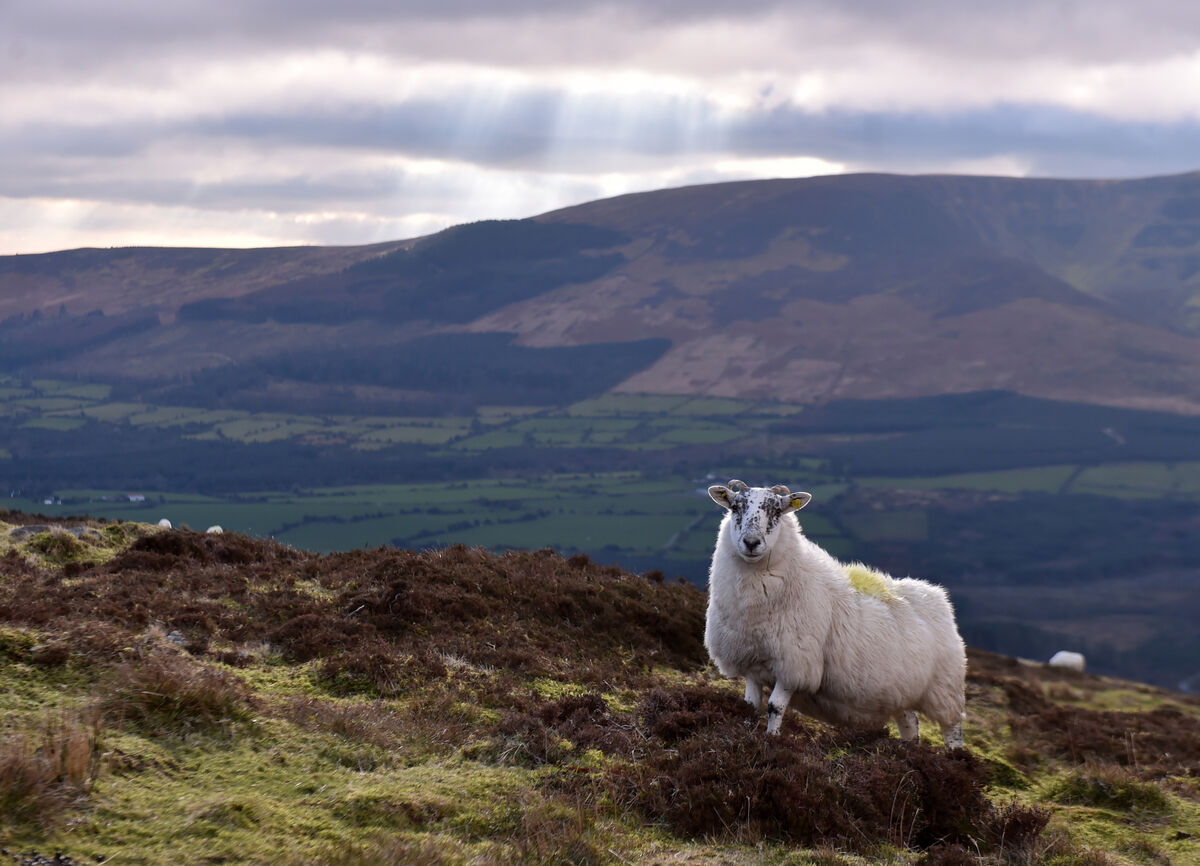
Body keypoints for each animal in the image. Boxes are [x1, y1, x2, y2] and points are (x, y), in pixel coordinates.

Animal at [704, 480, 966, 747]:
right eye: (735, 507)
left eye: (777, 511)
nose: (751, 542)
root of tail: (937, 596)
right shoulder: (751, 662)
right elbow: (749, 705)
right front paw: (746, 735)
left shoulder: (795, 666)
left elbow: (774, 707)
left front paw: (772, 739)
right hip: (900, 692)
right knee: (910, 721)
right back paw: (909, 750)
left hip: (944, 687)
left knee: (952, 727)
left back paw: (954, 754)